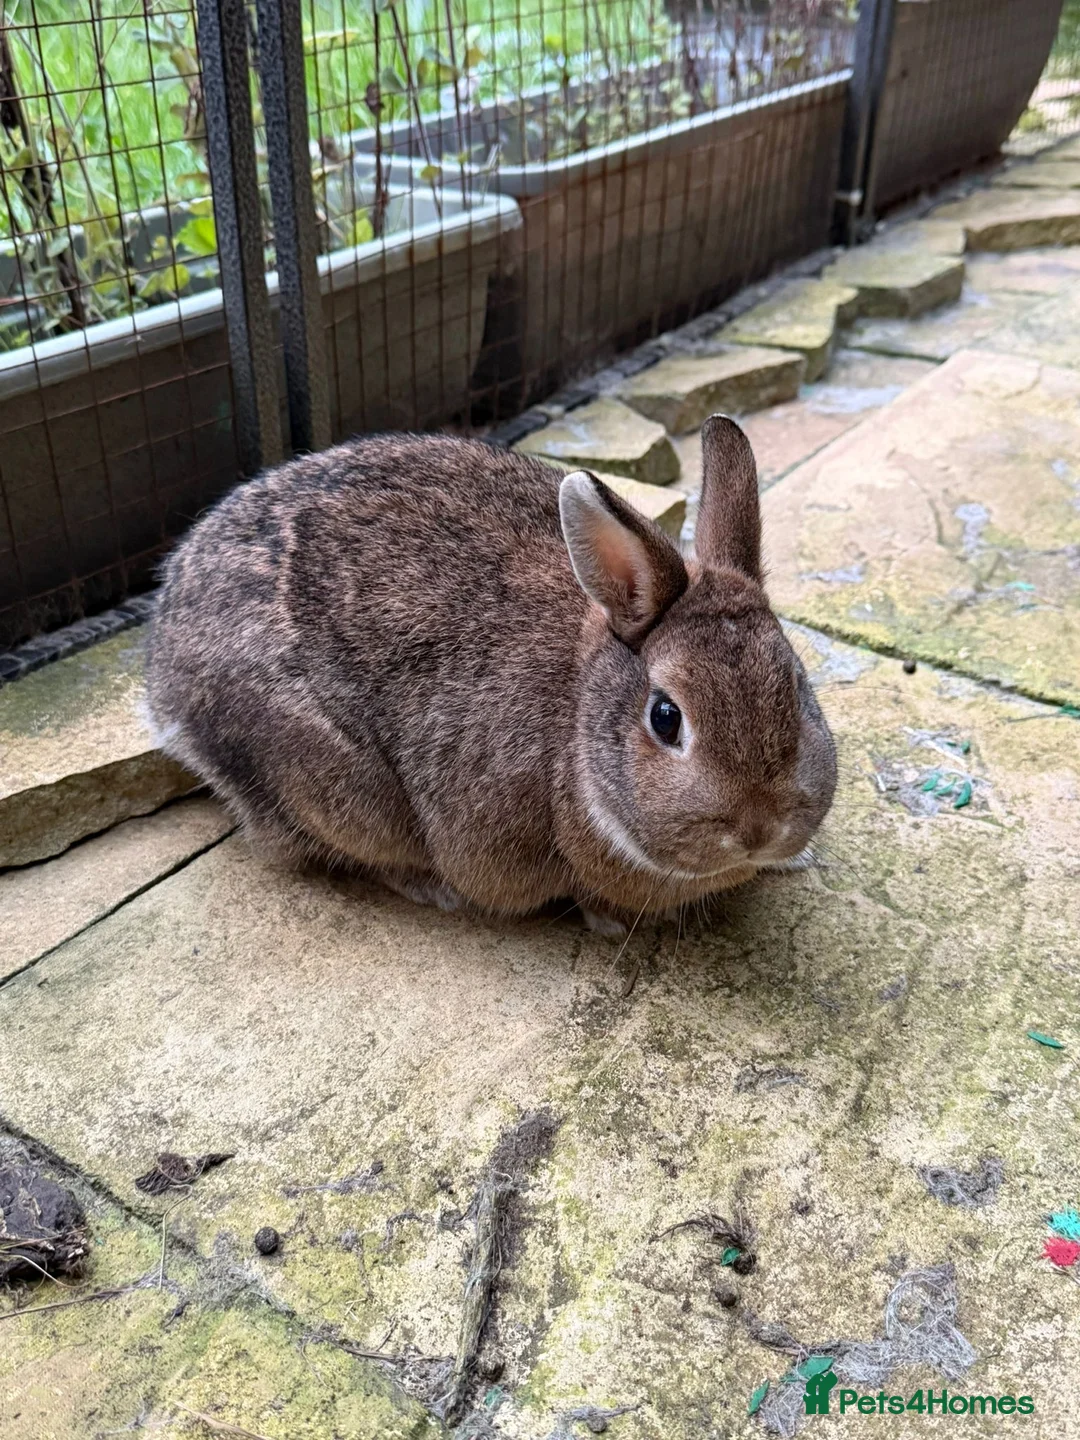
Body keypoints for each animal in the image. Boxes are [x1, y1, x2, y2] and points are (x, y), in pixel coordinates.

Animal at [146, 414, 837, 932]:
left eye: (797, 688)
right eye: (665, 718)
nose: (758, 830)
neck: (580, 710)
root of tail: (164, 685)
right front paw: (610, 920)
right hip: (333, 784)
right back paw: (435, 891)